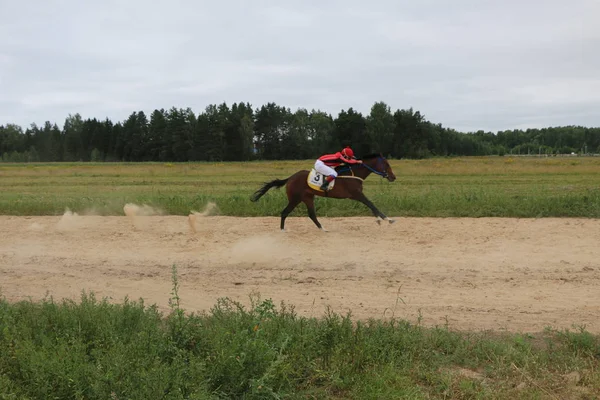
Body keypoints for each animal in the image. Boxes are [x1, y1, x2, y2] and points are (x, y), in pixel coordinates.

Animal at [250, 153, 396, 231]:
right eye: (387, 164)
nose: (393, 177)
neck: (354, 173)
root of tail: (290, 178)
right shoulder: (356, 194)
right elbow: (371, 204)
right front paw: (388, 219)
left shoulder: (357, 195)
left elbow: (370, 205)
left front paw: (379, 219)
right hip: (295, 198)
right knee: (285, 212)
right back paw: (282, 230)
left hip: (308, 197)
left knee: (311, 214)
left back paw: (323, 229)